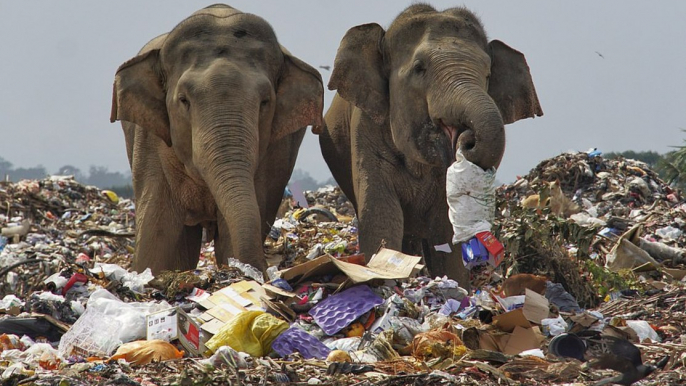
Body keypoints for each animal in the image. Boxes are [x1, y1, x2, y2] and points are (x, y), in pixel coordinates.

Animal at [110, 3, 326, 274]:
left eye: (265, 102)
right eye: (184, 100)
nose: (266, 270)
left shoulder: (275, 152)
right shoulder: (151, 142)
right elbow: (160, 242)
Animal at [322, 4, 544, 288]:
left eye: (488, 74)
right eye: (419, 68)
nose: (467, 139)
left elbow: (444, 229)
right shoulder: (365, 128)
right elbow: (380, 213)